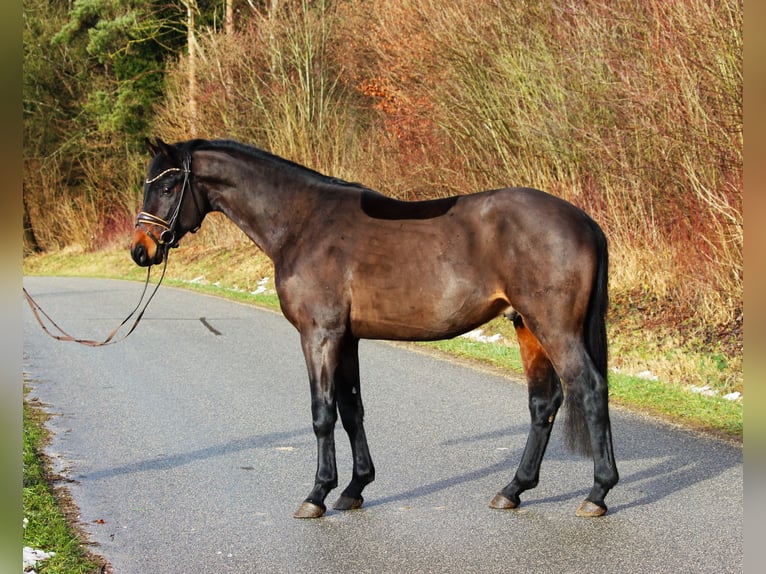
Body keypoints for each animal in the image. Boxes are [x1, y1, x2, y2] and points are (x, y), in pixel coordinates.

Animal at [132, 138, 620, 520]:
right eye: (148, 185)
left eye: (169, 186)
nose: (141, 250)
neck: (304, 223)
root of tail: (584, 221)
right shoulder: (346, 339)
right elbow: (352, 411)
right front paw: (353, 488)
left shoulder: (319, 335)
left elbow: (323, 414)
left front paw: (317, 494)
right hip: (526, 327)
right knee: (544, 402)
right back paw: (513, 489)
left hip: (553, 327)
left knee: (590, 389)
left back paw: (598, 492)